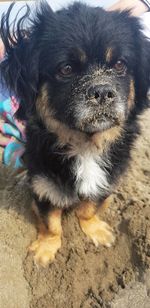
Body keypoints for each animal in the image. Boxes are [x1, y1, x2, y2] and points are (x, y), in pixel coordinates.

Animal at [0, 0, 149, 268]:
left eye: (120, 65)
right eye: (66, 69)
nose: (102, 92)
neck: (85, 145)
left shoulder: (107, 180)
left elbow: (89, 208)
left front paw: (95, 230)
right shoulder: (44, 187)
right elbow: (51, 224)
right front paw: (46, 249)